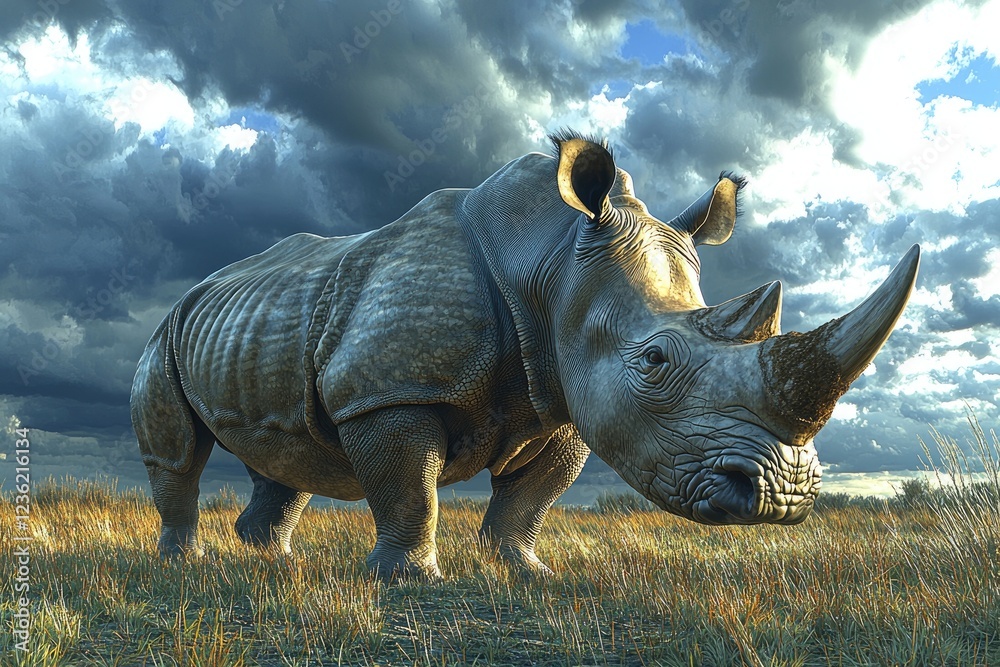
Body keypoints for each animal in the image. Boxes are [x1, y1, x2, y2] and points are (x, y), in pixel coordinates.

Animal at [131, 131, 919, 580]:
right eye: (654, 361)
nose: (782, 498)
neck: (553, 260)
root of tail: (195, 291)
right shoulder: (388, 387)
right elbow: (409, 486)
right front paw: (409, 580)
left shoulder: (562, 396)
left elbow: (533, 496)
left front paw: (526, 570)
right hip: (165, 333)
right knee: (179, 452)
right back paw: (184, 563)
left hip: (257, 322)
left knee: (291, 446)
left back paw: (270, 558)